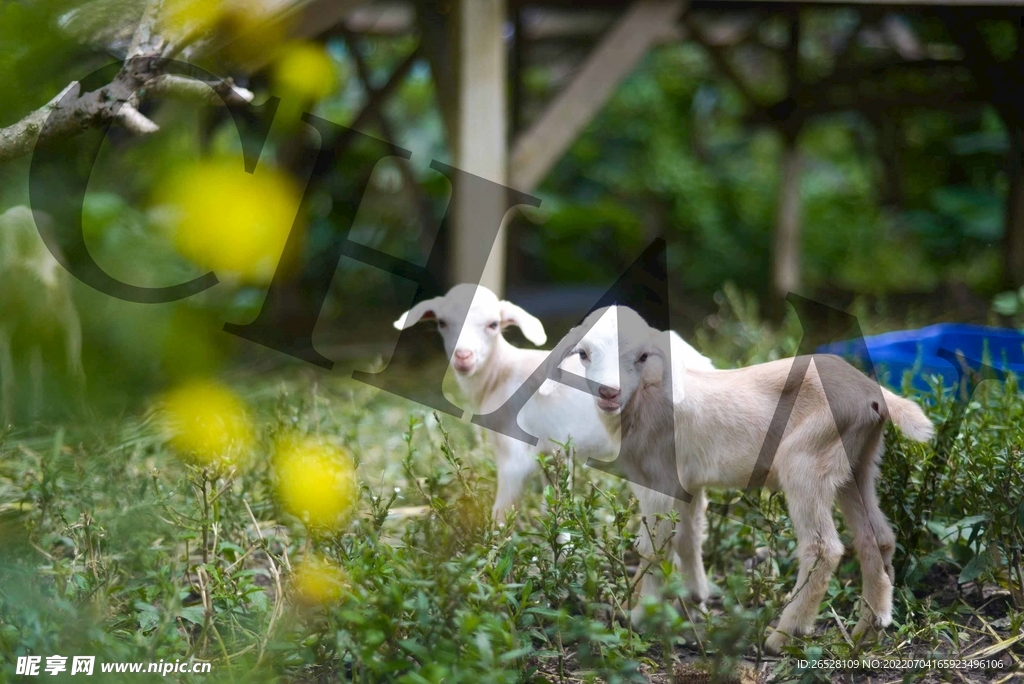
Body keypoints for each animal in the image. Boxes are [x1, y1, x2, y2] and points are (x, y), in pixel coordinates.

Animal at [565, 305, 933, 651]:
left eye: (642, 357)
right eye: (584, 354)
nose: (608, 392)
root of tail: (874, 395)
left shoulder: (658, 478)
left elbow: (653, 547)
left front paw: (642, 617)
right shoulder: (687, 483)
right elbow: (688, 537)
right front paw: (695, 600)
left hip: (806, 460)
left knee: (823, 548)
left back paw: (785, 634)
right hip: (859, 462)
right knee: (878, 539)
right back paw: (868, 629)